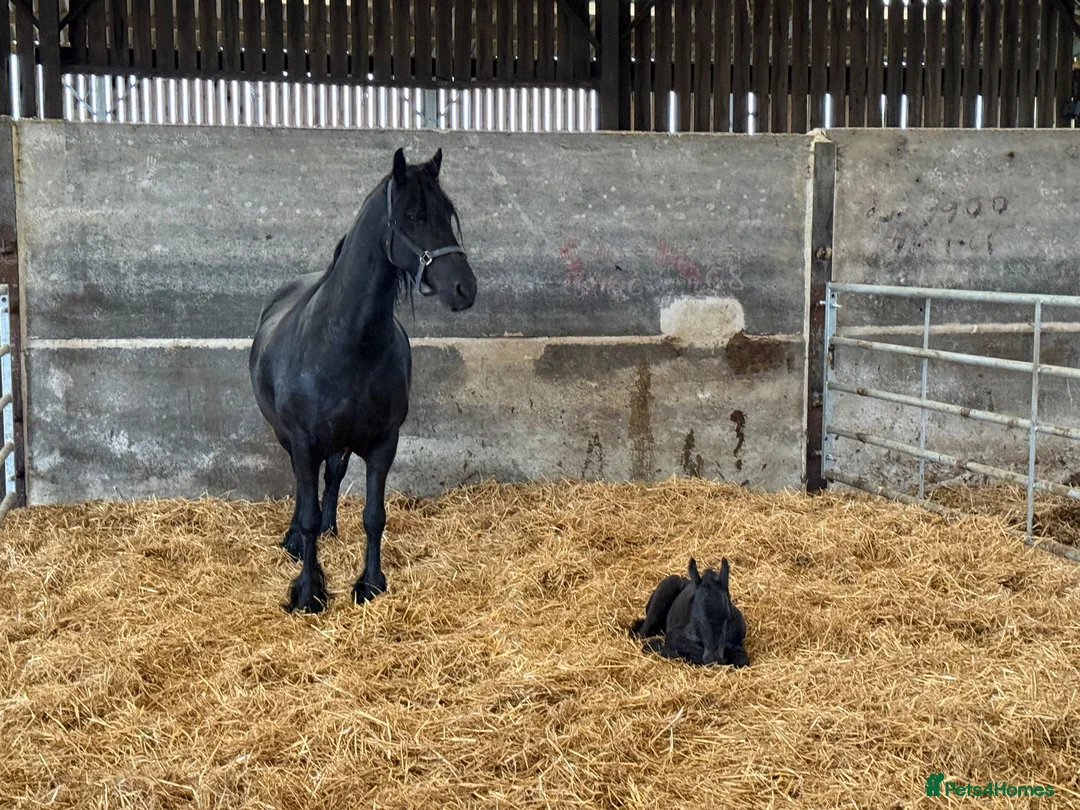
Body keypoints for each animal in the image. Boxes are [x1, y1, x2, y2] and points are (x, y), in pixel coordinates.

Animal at [249, 147, 477, 614]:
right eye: (411, 216)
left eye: (448, 215)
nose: (465, 288)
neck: (348, 343)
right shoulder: (304, 442)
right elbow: (307, 512)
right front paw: (308, 591)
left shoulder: (383, 441)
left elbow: (374, 515)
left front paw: (370, 584)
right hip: (290, 439)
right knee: (302, 490)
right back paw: (295, 540)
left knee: (332, 477)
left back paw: (331, 528)